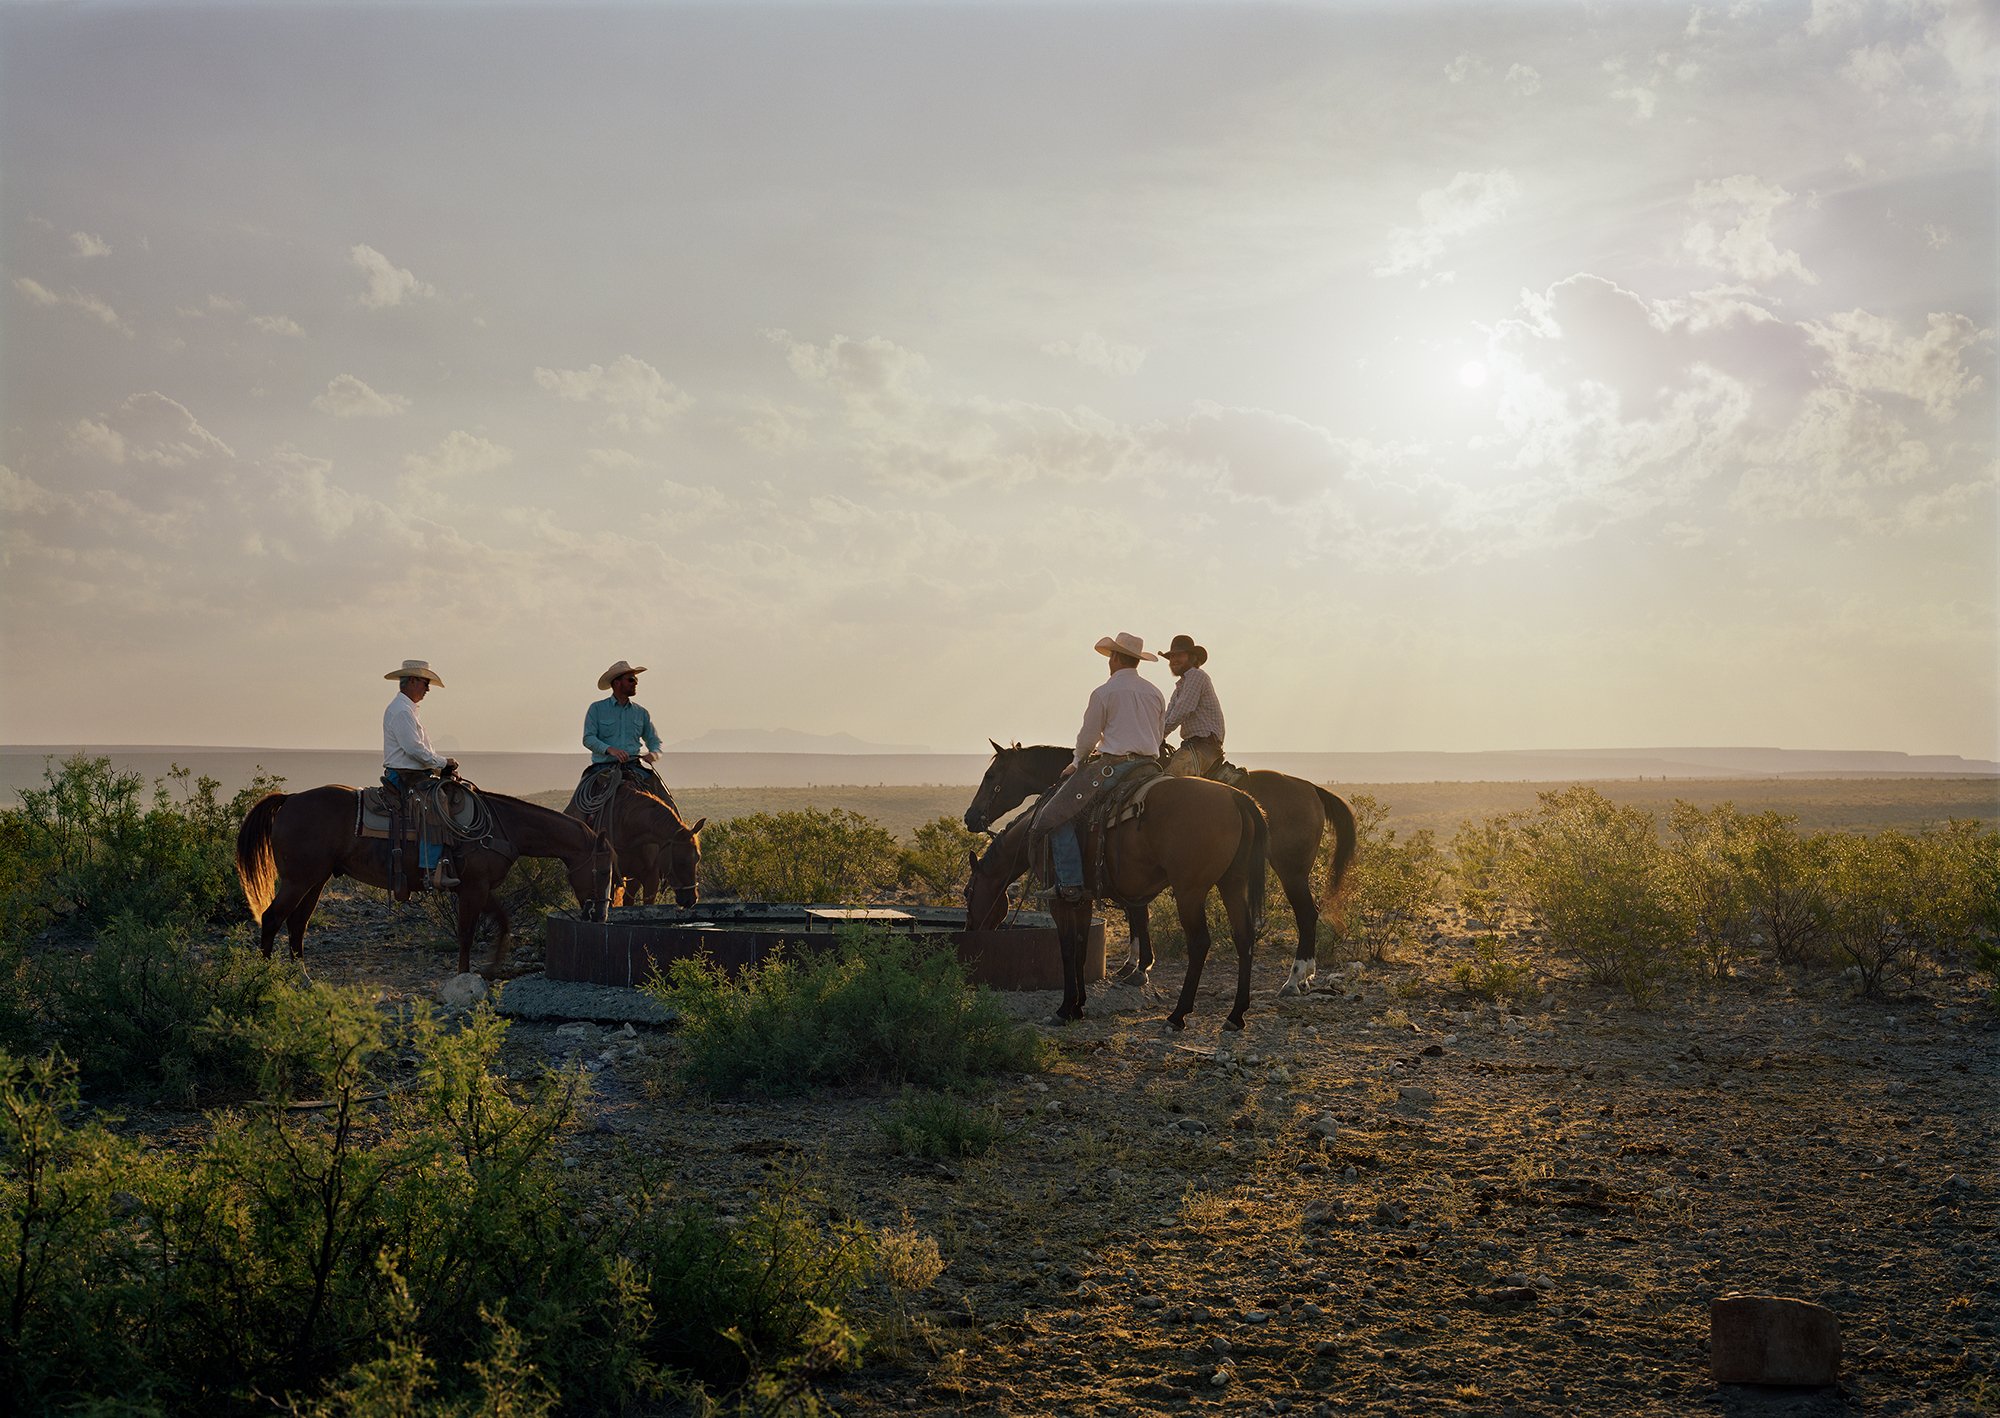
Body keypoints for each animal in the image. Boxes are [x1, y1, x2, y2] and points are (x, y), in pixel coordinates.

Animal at [232, 780, 608, 980]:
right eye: (603, 870)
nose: (600, 914)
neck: (504, 827)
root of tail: (290, 800)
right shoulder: (474, 888)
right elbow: (467, 933)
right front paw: (464, 975)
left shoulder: (479, 887)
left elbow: (502, 922)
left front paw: (491, 968)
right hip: (299, 879)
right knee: (273, 918)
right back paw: (264, 979)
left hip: (316, 879)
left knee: (298, 923)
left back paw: (303, 976)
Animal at [956, 748, 1360, 992]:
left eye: (992, 776)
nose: (971, 817)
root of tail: (1311, 788)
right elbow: (1138, 913)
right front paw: (1133, 964)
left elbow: (1137, 914)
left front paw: (1138, 966)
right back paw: (1303, 977)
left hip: (1290, 870)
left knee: (1306, 914)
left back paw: (1295, 978)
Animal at [964, 776, 1264, 1032]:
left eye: (968, 893)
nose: (969, 931)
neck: (1034, 831)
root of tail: (1235, 796)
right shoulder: (1080, 900)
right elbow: (1082, 949)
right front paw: (1079, 1006)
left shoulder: (1060, 903)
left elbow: (1067, 950)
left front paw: (1064, 1009)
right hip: (1233, 883)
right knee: (1244, 937)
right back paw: (1236, 1015)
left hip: (1190, 891)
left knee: (1199, 943)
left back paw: (1177, 1016)